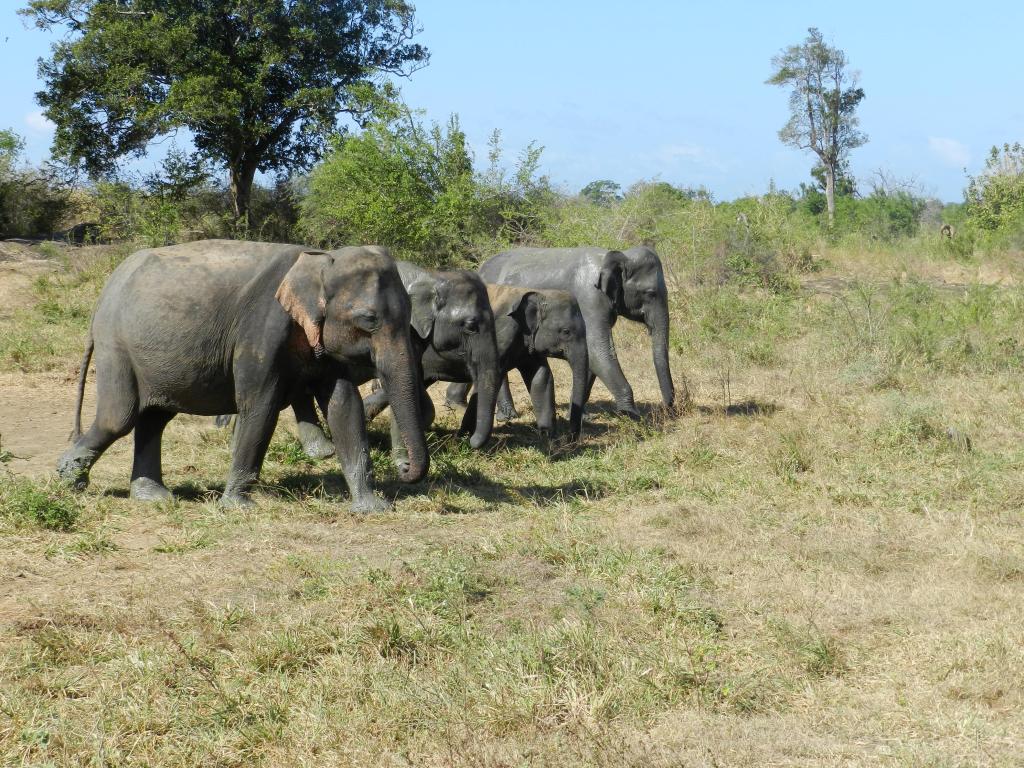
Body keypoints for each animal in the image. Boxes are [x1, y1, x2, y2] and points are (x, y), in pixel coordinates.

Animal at [56, 239, 429, 513]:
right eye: (369, 320)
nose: (403, 469)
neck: (320, 259)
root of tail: (105, 291)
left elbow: (344, 405)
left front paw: (373, 508)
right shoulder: (260, 329)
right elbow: (260, 405)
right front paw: (237, 508)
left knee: (154, 419)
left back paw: (153, 497)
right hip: (116, 345)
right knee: (119, 417)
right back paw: (68, 480)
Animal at [438, 285, 590, 441]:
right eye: (566, 331)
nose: (570, 438)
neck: (540, 292)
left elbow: (541, 377)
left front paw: (548, 437)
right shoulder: (500, 332)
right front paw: (465, 437)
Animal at [477, 245, 677, 419]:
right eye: (650, 293)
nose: (667, 408)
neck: (615, 256)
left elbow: (591, 355)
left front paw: (580, 417)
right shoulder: (590, 299)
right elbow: (598, 350)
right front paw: (633, 417)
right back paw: (508, 417)